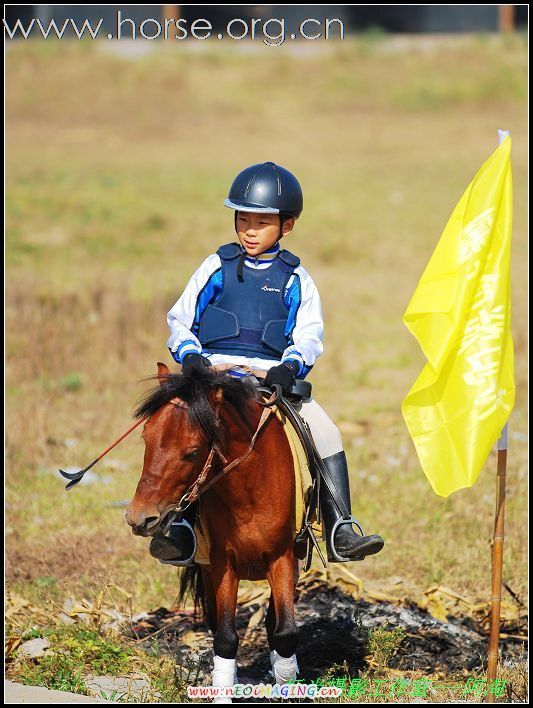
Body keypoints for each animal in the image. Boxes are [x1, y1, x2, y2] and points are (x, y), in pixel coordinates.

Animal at [125, 366, 300, 696]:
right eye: (145, 438)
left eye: (193, 453)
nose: (139, 518)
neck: (249, 491)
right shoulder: (222, 564)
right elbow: (225, 638)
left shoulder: (282, 557)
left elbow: (284, 633)